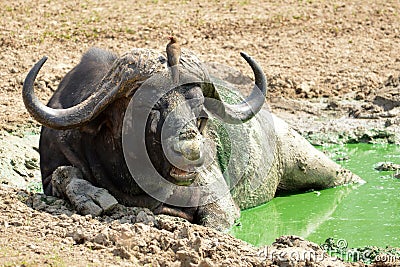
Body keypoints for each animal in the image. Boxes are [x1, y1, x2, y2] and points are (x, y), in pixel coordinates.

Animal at [24, 46, 362, 230]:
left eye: (200, 111)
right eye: (148, 107)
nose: (190, 150)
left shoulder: (219, 202)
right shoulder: (52, 164)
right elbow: (64, 173)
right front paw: (95, 198)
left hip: (307, 159)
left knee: (340, 174)